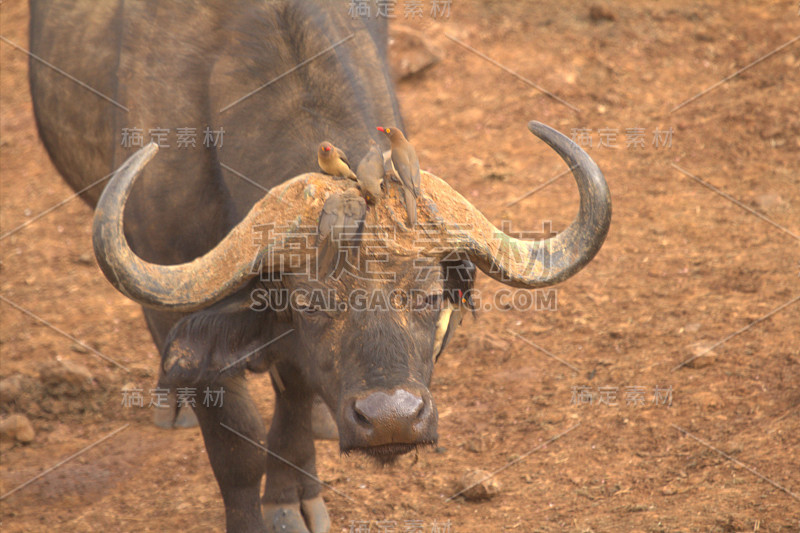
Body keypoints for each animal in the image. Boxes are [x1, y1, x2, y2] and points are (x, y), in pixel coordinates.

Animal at [28, 1, 608, 532]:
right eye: (310, 304)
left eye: (429, 296)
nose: (392, 419)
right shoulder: (183, 311)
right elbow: (237, 448)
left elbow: (295, 403)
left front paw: (292, 501)